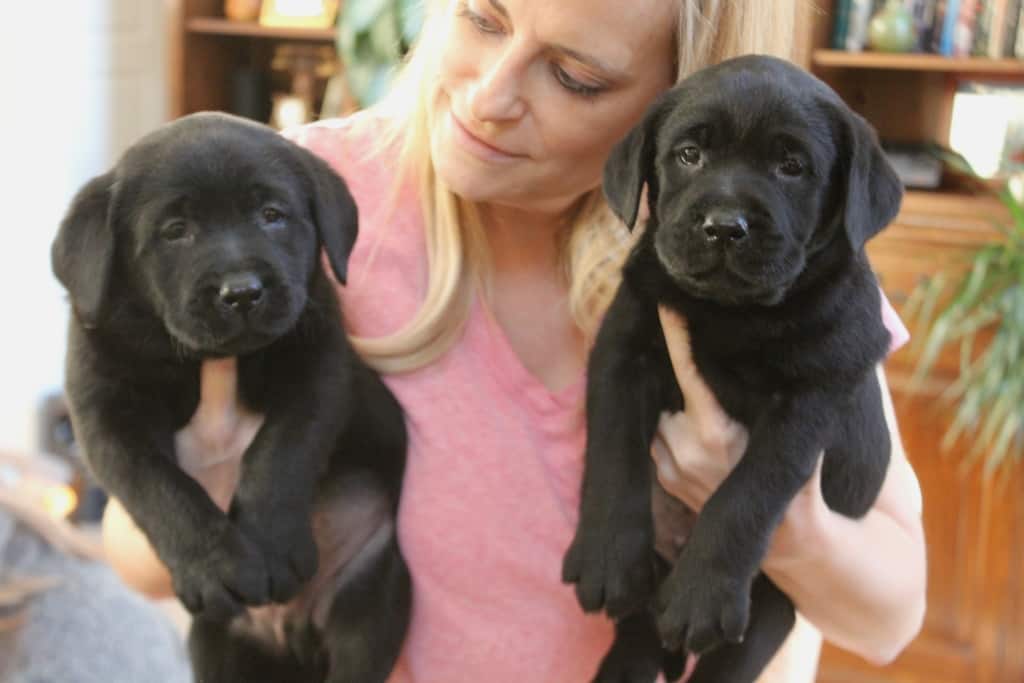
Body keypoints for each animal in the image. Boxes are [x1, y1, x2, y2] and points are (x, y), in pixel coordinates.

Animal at [52, 109, 411, 679]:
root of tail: (293, 634)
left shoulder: (319, 364)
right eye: (175, 231)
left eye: (272, 215)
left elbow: (281, 451)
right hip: (217, 642)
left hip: (373, 600)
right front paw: (213, 567)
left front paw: (271, 543)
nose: (242, 292)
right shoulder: (103, 409)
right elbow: (158, 485)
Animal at [561, 54, 905, 683]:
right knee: (638, 633)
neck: (731, 314)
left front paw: (701, 594)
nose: (724, 225)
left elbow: (748, 492)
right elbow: (614, 453)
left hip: (772, 606)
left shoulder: (812, 397)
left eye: (792, 166)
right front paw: (605, 555)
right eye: (689, 154)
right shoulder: (623, 349)